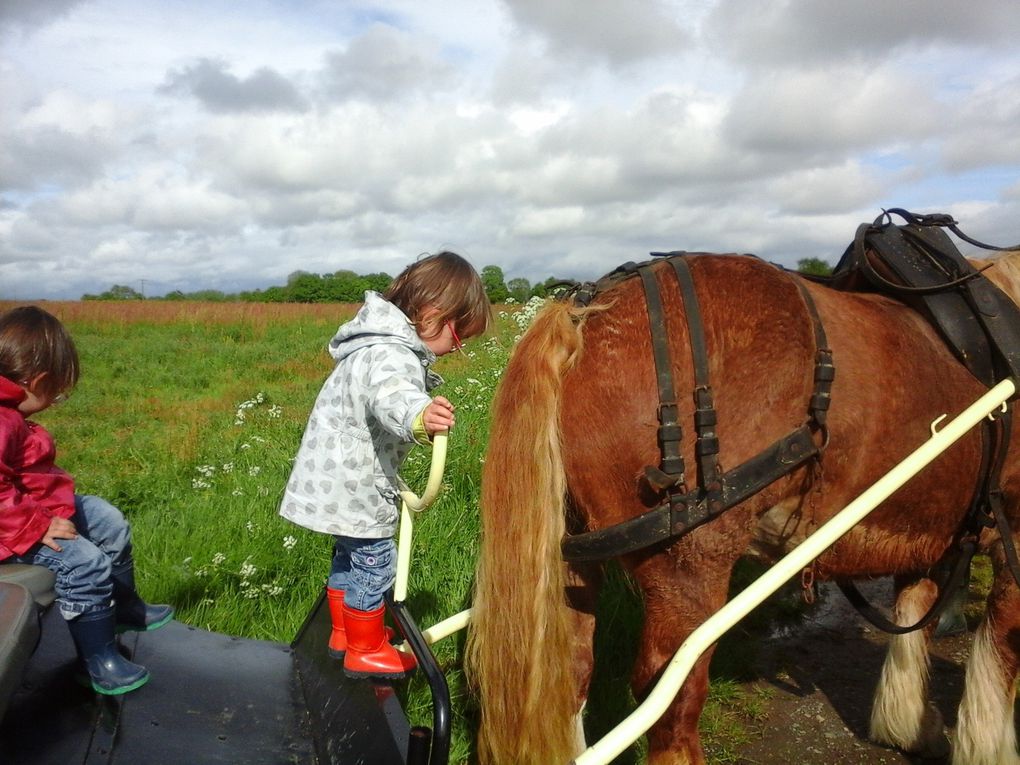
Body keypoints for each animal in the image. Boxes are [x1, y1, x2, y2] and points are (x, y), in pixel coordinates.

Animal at [467, 251, 1020, 765]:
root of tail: (586, 312)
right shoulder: (1011, 538)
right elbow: (999, 655)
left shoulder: (932, 534)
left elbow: (915, 622)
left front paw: (910, 725)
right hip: (689, 569)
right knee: (671, 700)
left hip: (574, 559)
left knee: (573, 674)